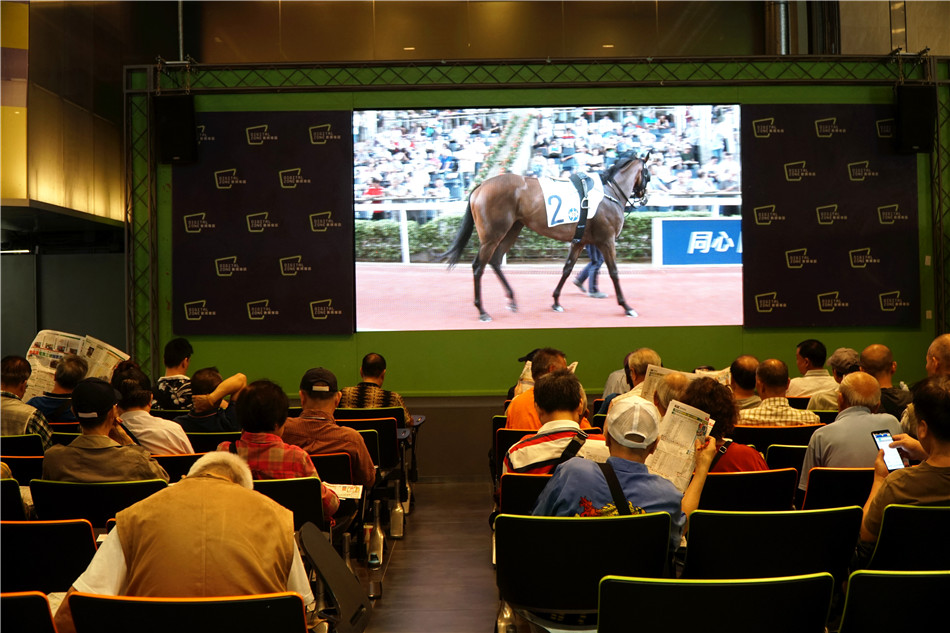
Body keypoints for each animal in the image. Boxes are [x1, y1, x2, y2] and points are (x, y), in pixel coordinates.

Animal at [444, 152, 652, 320]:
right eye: (648, 175)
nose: (644, 197)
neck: (608, 194)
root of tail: (480, 186)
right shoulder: (607, 240)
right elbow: (614, 272)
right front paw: (627, 307)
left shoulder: (580, 241)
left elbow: (567, 269)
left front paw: (556, 301)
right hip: (491, 236)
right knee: (478, 267)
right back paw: (482, 311)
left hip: (513, 229)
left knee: (495, 261)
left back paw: (512, 299)